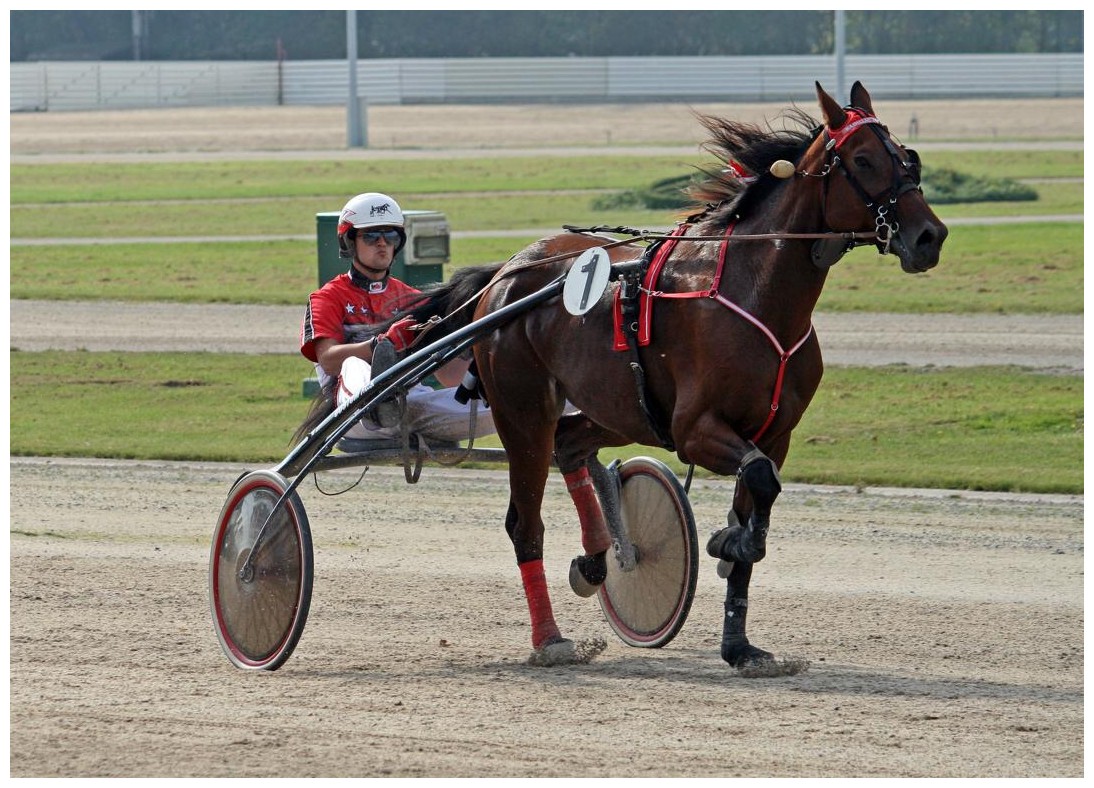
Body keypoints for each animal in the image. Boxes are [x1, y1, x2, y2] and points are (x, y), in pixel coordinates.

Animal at [371, 83, 945, 669]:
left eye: (909, 156)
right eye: (863, 160)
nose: (930, 236)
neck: (754, 290)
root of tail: (506, 274)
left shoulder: (772, 434)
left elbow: (760, 496)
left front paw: (739, 641)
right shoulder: (695, 428)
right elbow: (757, 486)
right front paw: (728, 541)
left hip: (618, 408)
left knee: (571, 446)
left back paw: (599, 558)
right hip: (524, 411)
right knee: (524, 521)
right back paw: (550, 639)